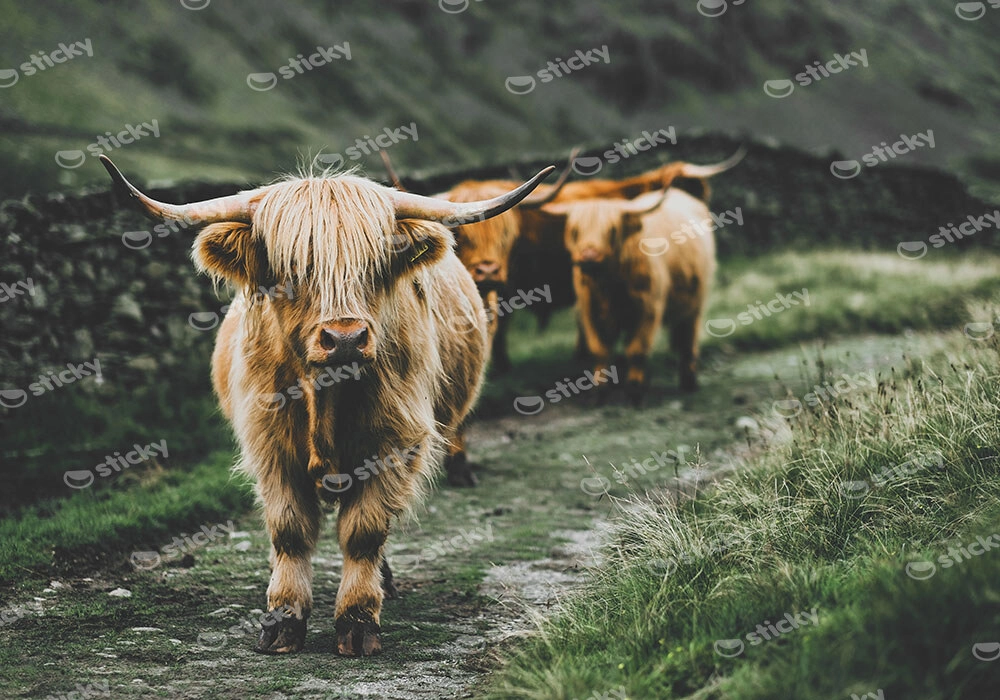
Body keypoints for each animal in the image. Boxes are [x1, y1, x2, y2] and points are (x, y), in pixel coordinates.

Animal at [100, 155, 553, 657]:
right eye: (292, 268)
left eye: (375, 265)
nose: (346, 338)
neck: (326, 395)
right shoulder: (269, 445)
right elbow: (289, 530)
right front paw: (282, 619)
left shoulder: (394, 444)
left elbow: (365, 532)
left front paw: (357, 620)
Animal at [538, 186, 718, 401]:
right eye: (575, 230)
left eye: (612, 230)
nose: (589, 256)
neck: (608, 284)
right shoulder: (589, 310)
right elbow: (600, 350)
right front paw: (600, 392)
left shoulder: (649, 308)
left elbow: (637, 350)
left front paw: (634, 391)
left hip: (696, 301)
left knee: (688, 339)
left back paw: (688, 381)